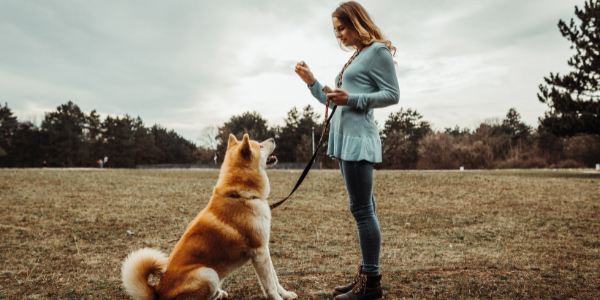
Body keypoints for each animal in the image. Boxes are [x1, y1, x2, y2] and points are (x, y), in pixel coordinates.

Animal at [122, 134, 298, 300]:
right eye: (260, 145)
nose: (273, 138)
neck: (240, 195)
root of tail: (157, 290)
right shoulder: (260, 251)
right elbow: (270, 284)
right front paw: (278, 297)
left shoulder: (264, 250)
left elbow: (275, 279)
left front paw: (286, 294)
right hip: (209, 274)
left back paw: (220, 293)